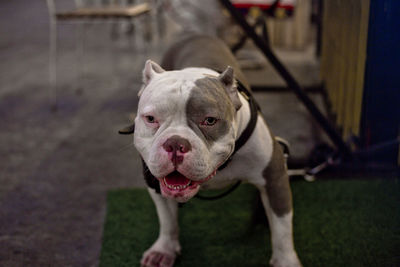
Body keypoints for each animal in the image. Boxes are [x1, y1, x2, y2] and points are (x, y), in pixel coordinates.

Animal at [128, 35, 300, 267]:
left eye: (209, 120)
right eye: (150, 119)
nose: (175, 143)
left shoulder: (274, 178)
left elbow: (282, 228)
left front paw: (286, 260)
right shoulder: (155, 183)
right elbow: (167, 220)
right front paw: (164, 249)